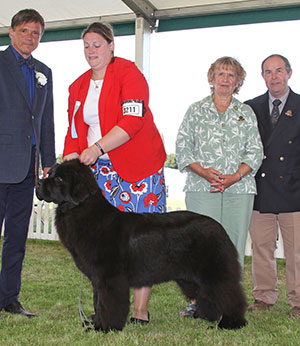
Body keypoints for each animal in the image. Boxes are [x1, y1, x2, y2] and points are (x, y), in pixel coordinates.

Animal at [35, 159, 246, 332]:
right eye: (50, 173)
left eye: (59, 179)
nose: (37, 183)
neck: (81, 210)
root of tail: (218, 226)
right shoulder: (98, 278)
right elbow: (98, 301)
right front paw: (95, 324)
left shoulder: (110, 277)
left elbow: (108, 303)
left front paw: (104, 328)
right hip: (191, 278)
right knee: (209, 296)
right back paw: (208, 318)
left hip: (213, 272)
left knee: (229, 294)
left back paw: (231, 323)